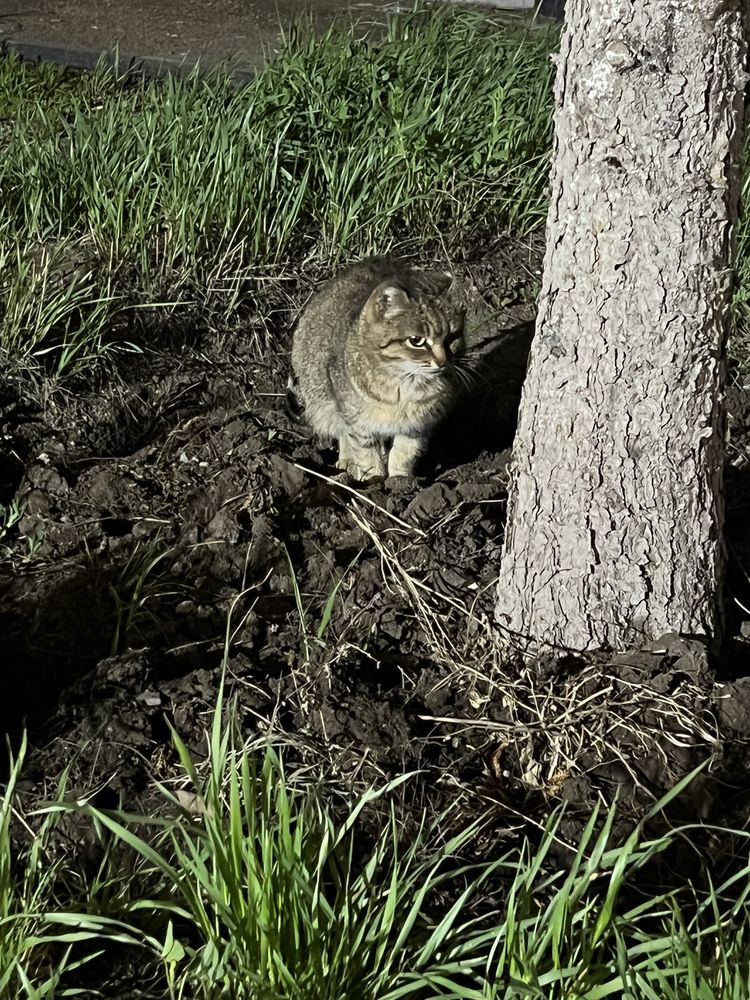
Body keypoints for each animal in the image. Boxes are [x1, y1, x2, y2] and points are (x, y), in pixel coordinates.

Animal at [290, 256, 468, 478]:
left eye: (452, 336)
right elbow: (366, 452)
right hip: (320, 398)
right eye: (416, 341)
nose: (443, 361)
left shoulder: (417, 428)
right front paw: (373, 478)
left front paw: (400, 480)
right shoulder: (358, 422)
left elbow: (405, 454)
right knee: (342, 432)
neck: (405, 384)